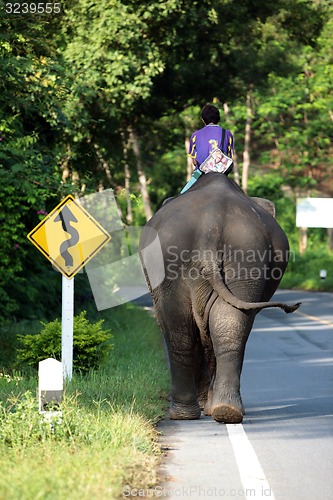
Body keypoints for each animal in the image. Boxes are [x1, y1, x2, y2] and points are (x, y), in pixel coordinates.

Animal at [139, 174, 300, 424]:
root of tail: (210, 227)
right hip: (240, 254)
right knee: (215, 325)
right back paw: (218, 411)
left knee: (187, 328)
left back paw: (200, 412)